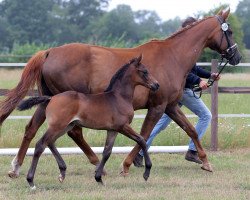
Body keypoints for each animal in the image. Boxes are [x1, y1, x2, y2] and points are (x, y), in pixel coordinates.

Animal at [17, 55, 159, 189]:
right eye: (144, 71)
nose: (156, 85)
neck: (119, 97)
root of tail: (51, 98)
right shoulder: (123, 126)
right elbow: (141, 140)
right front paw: (146, 173)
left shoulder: (112, 130)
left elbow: (107, 152)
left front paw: (98, 178)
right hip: (58, 126)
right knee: (40, 144)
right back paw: (31, 181)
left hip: (66, 126)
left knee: (50, 142)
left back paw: (62, 173)